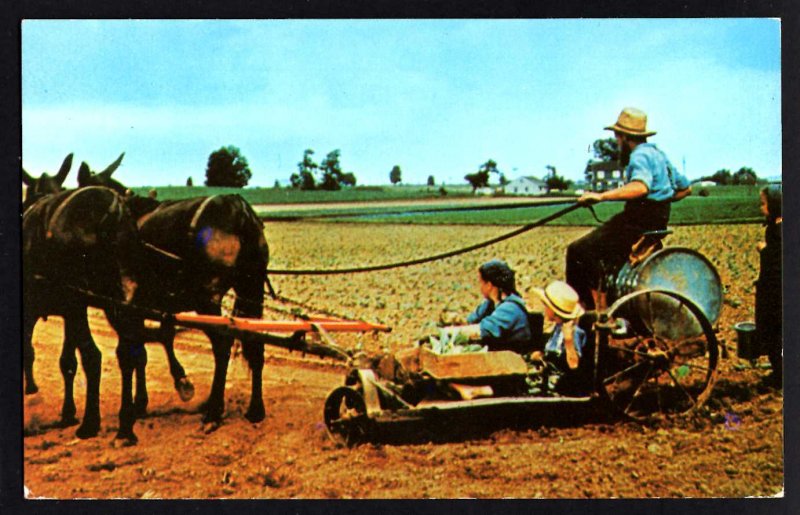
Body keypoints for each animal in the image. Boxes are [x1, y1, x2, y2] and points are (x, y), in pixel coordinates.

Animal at [23, 157, 145, 440]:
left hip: (80, 300)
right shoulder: (68, 310)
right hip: (118, 299)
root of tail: (113, 211)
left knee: (93, 356)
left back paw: (91, 422)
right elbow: (67, 361)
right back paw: (126, 423)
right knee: (129, 351)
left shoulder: (50, 307)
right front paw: (67, 412)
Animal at [78, 155, 272, 446]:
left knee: (222, 344)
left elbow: (137, 350)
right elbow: (158, 340)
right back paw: (255, 409)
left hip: (206, 299)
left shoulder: (124, 307)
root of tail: (238, 211)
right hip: (251, 288)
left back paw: (214, 412)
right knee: (254, 342)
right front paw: (153, 396)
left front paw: (167, 391)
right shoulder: (155, 305)